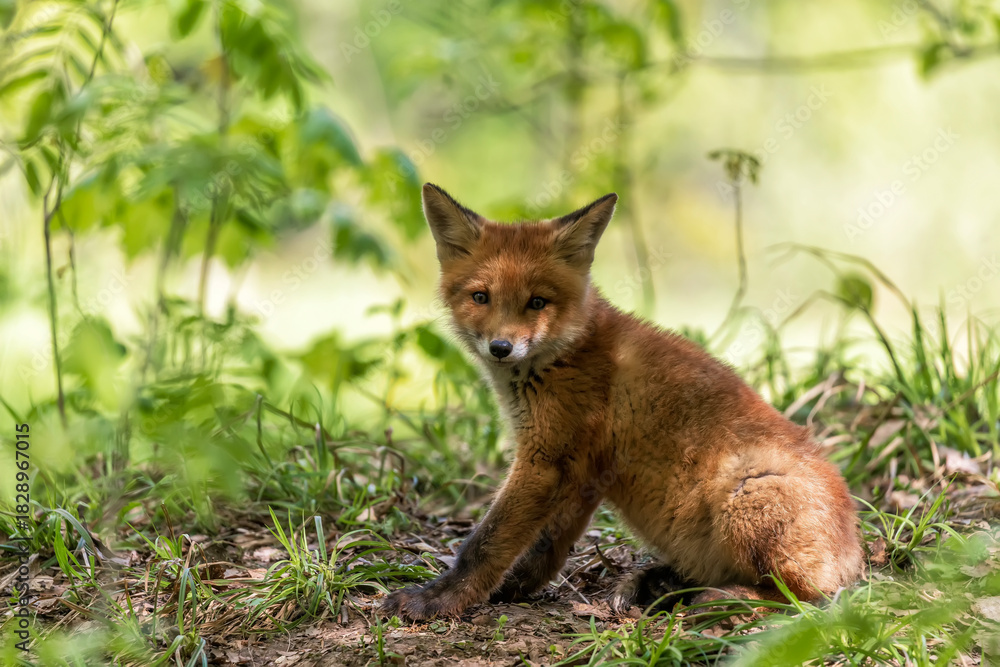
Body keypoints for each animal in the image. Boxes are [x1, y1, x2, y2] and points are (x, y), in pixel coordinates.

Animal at [380, 184, 864, 621]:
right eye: (481, 297)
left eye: (537, 302)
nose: (501, 348)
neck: (564, 354)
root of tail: (854, 555)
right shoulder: (580, 470)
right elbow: (546, 545)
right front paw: (512, 588)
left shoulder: (545, 460)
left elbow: (484, 543)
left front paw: (440, 599)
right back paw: (660, 584)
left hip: (748, 490)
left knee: (805, 600)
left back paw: (721, 600)